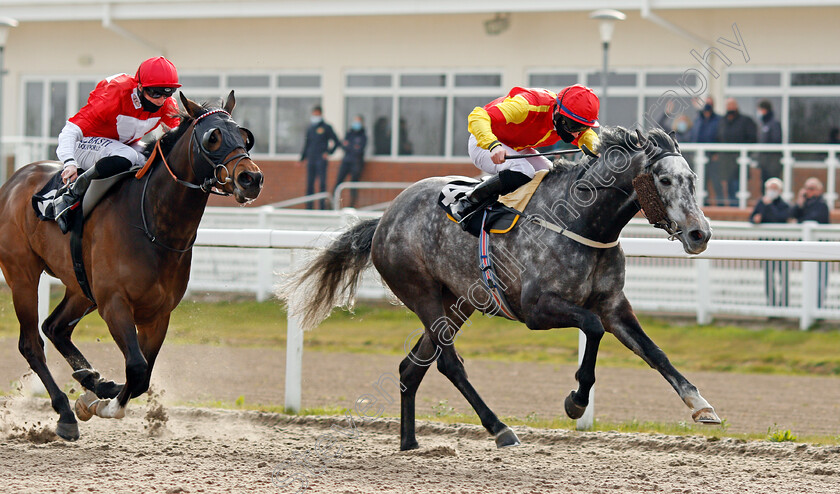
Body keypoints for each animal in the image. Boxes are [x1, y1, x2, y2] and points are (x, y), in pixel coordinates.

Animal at [0, 90, 260, 438]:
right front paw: (101, 406)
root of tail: (14, 180)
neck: (152, 222)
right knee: (31, 343)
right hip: (23, 275)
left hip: (80, 287)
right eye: (213, 137)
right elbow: (136, 367)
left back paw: (92, 379)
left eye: (245, 137)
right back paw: (65, 412)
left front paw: (98, 396)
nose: (251, 178)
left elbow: (143, 375)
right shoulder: (115, 303)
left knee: (55, 327)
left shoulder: (158, 313)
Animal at [282, 125, 720, 450]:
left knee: (411, 367)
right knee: (448, 363)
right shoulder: (537, 309)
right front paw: (576, 402)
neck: (584, 223)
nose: (700, 234)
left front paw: (700, 405)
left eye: (693, 179)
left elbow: (655, 352)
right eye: (664, 179)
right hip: (423, 294)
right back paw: (500, 428)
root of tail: (386, 217)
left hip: (457, 301)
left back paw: (410, 444)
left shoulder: (614, 304)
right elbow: (592, 329)